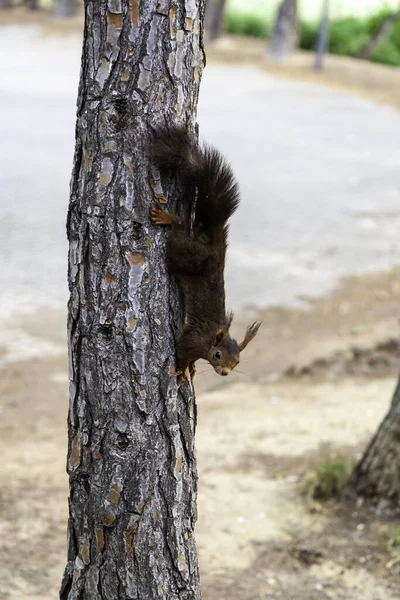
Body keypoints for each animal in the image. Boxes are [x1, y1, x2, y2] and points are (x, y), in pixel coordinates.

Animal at [149, 125, 260, 384]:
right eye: (218, 355)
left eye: (237, 362)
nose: (225, 373)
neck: (211, 340)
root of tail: (214, 239)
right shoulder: (193, 339)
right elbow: (181, 352)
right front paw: (181, 370)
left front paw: (191, 368)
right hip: (186, 254)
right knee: (179, 229)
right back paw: (166, 218)